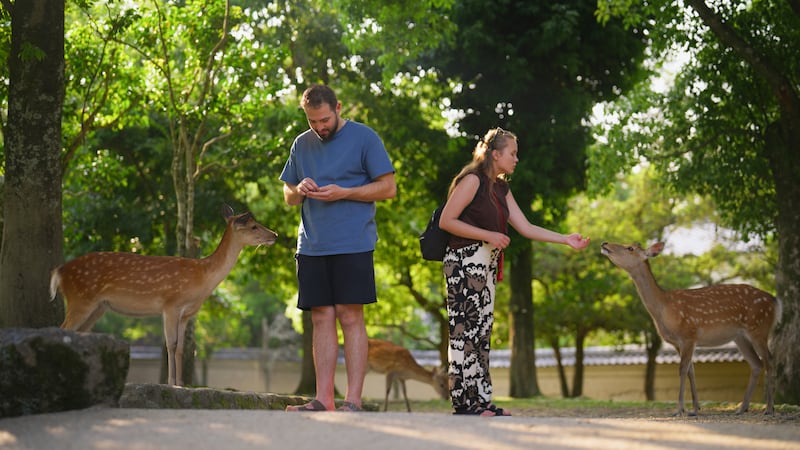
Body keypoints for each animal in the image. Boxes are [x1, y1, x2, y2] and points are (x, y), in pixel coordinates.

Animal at [50, 204, 278, 386]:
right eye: (253, 226)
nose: (275, 235)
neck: (202, 278)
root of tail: (59, 272)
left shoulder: (186, 315)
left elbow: (182, 348)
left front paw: (182, 383)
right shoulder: (171, 304)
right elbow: (171, 344)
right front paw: (171, 382)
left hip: (98, 307)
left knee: (77, 334)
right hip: (80, 298)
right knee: (62, 329)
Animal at [600, 241, 781, 416]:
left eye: (630, 248)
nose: (605, 243)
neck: (664, 309)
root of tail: (775, 302)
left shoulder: (688, 334)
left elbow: (682, 369)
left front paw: (679, 409)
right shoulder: (677, 342)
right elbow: (690, 371)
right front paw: (694, 409)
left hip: (759, 327)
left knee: (770, 360)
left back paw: (769, 409)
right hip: (740, 337)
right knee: (757, 364)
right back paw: (742, 408)